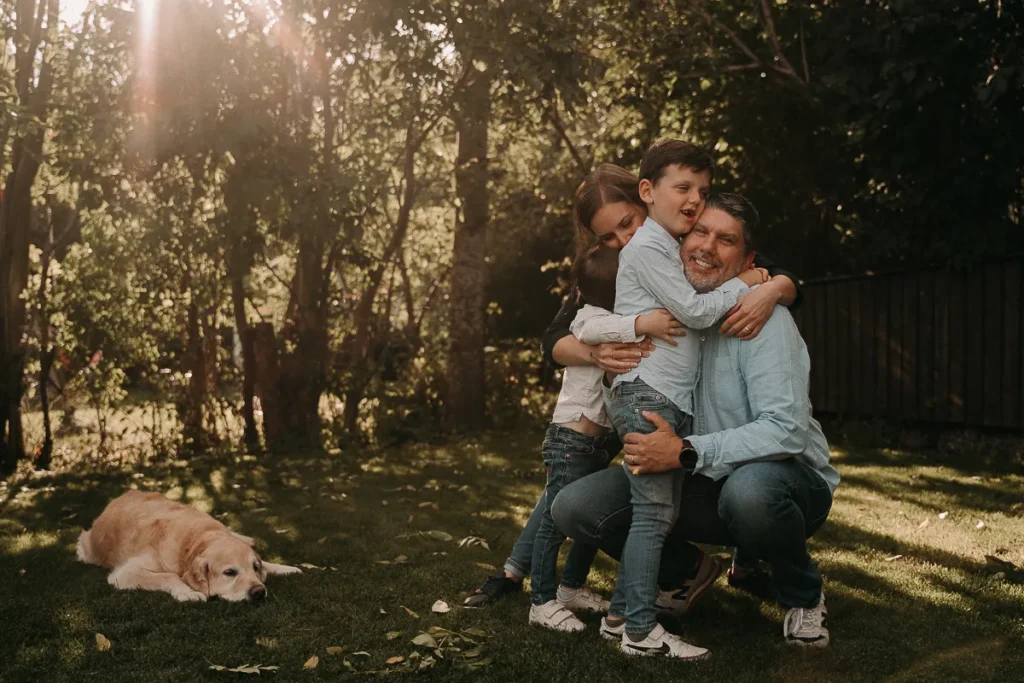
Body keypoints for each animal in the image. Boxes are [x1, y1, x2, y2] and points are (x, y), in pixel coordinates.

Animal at [76, 491, 299, 602]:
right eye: (229, 572)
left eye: (255, 568)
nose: (259, 592)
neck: (195, 541)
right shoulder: (124, 573)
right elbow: (169, 576)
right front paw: (188, 592)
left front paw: (286, 568)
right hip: (87, 546)